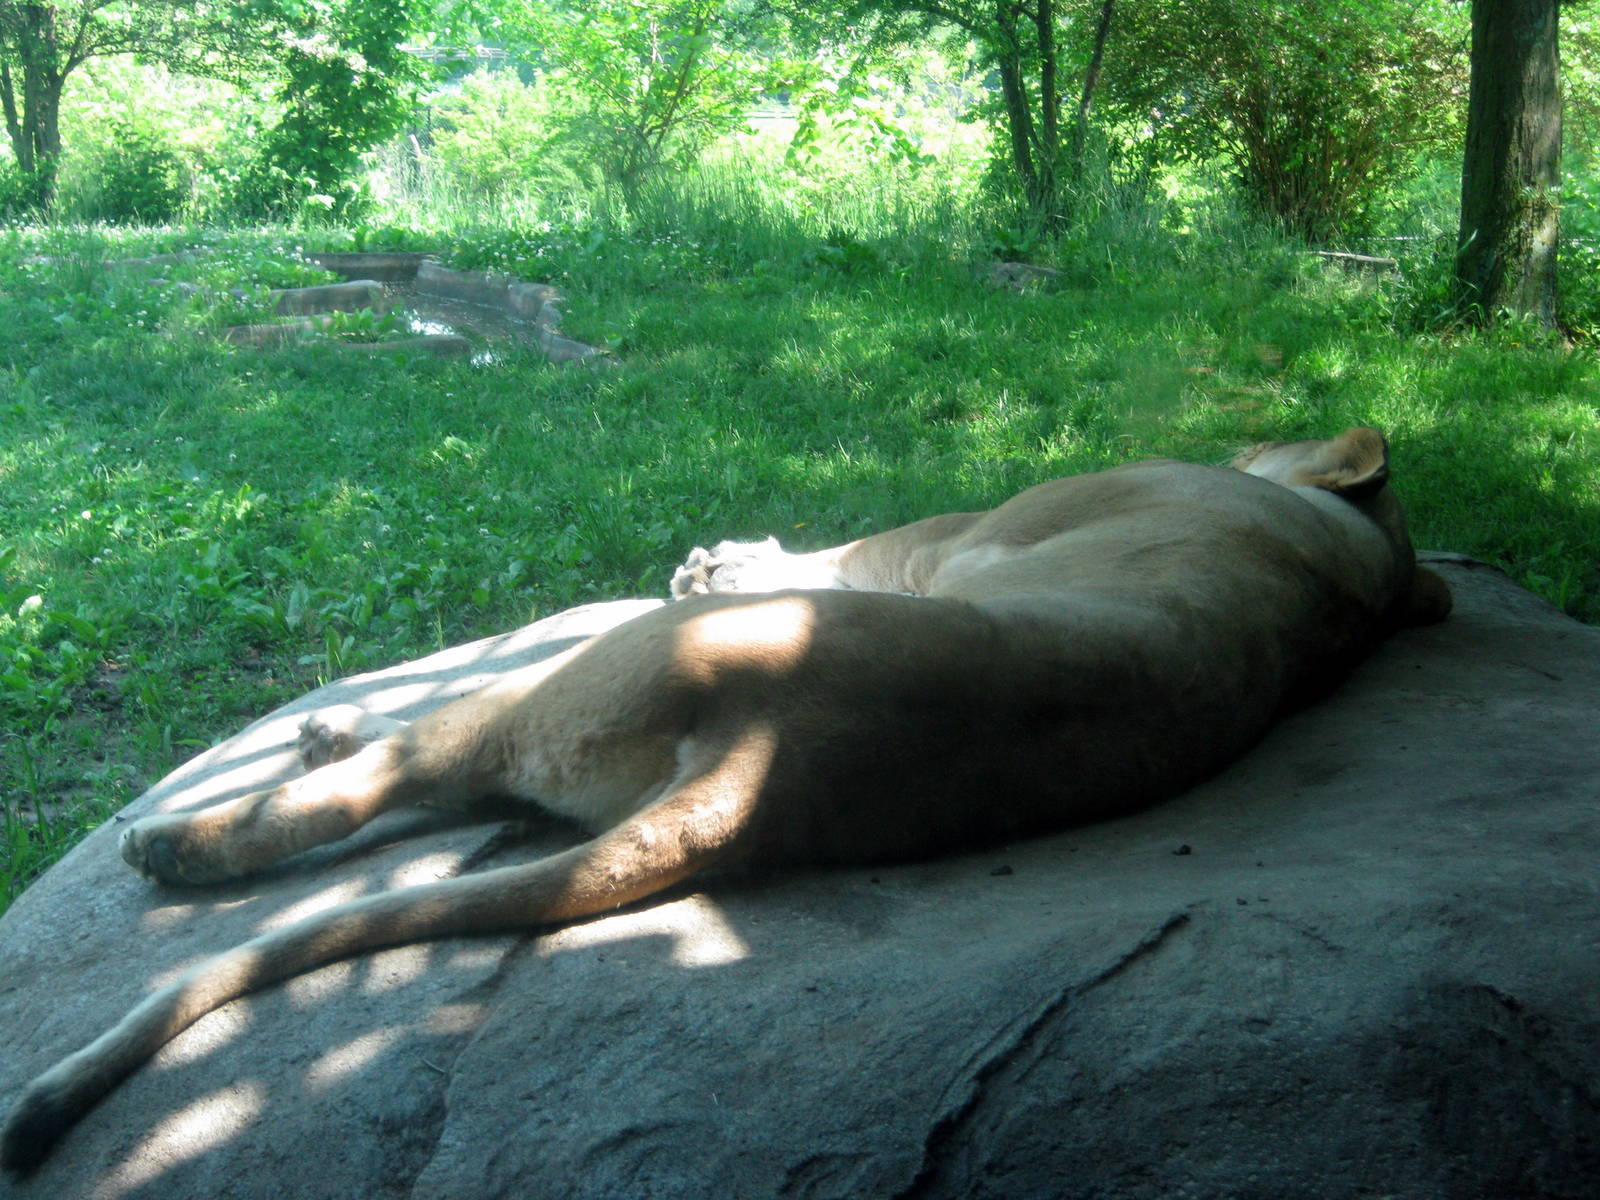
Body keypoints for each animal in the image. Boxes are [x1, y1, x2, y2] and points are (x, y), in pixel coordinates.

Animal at [0, 427, 1450, 1174]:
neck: (1352, 560)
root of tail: (767, 768)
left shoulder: (954, 527)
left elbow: (842, 540)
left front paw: (725, 558)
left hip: (585, 679)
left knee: (399, 773)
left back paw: (201, 826)